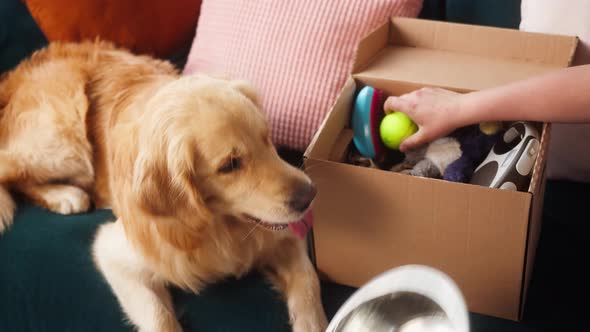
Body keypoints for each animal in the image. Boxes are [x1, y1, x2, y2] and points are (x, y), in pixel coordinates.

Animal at [0, 42, 328, 332]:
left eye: (267, 138)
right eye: (230, 165)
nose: (310, 195)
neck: (216, 227)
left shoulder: (284, 236)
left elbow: (309, 281)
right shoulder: (115, 254)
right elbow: (160, 320)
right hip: (63, 136)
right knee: (9, 168)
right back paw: (64, 195)